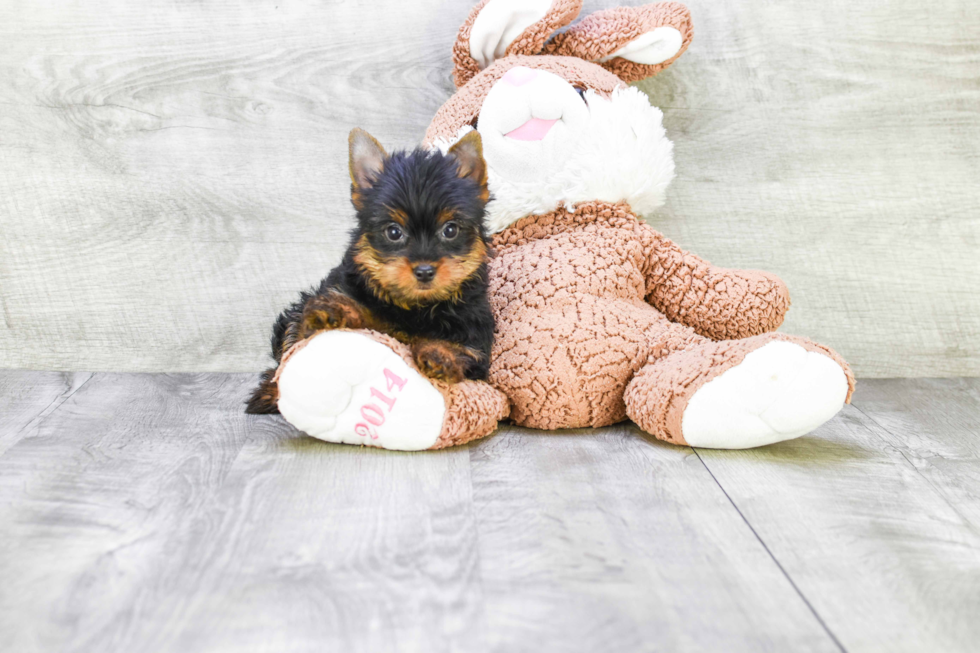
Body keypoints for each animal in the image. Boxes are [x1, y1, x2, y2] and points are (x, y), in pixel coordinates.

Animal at [245, 127, 490, 412]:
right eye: (393, 232)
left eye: (450, 230)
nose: (425, 271)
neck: (414, 306)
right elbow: (311, 329)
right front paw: (335, 309)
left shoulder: (476, 335)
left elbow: (463, 349)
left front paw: (440, 354)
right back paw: (270, 391)